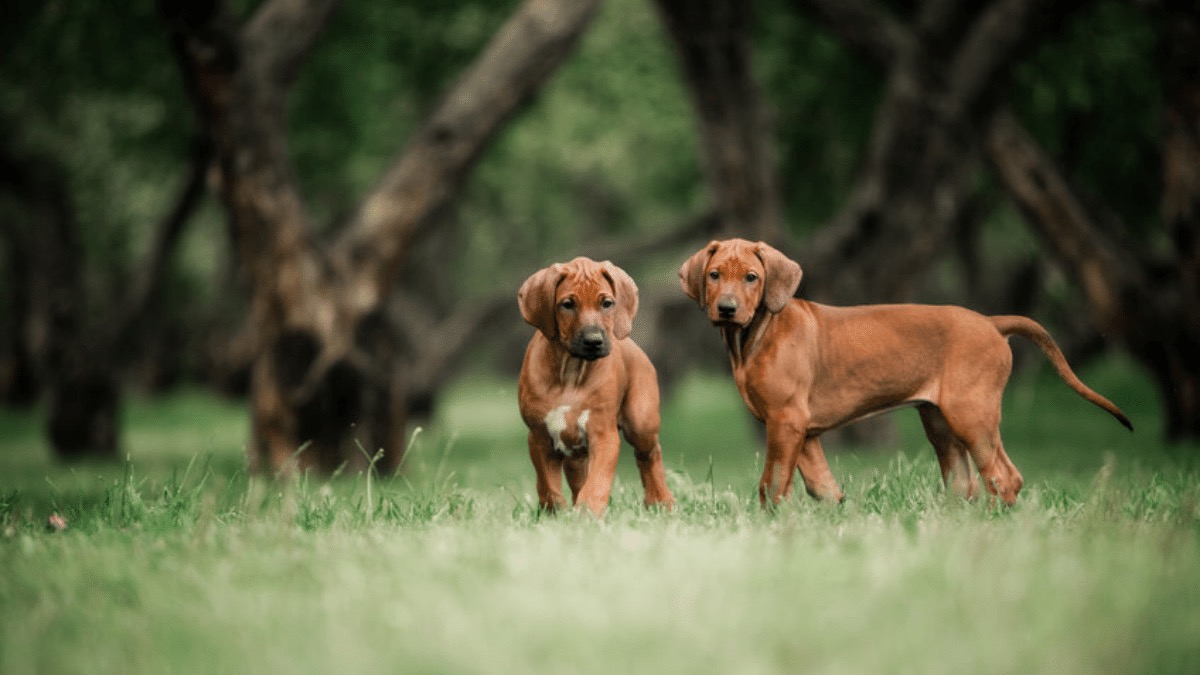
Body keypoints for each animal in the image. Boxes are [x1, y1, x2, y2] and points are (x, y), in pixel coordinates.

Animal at [518, 254, 676, 511]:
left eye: (607, 303)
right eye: (568, 304)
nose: (594, 341)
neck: (571, 373)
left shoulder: (603, 435)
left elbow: (597, 482)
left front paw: (588, 512)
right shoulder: (540, 438)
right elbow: (548, 486)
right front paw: (555, 513)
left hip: (641, 421)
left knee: (649, 455)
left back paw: (660, 500)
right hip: (575, 453)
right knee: (576, 476)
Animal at [681, 236, 1128, 504]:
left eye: (752, 277)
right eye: (714, 275)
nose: (726, 308)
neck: (756, 334)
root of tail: (990, 322)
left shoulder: (786, 421)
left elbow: (771, 485)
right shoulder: (801, 432)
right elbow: (823, 487)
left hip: (971, 414)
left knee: (1003, 476)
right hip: (941, 423)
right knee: (964, 482)